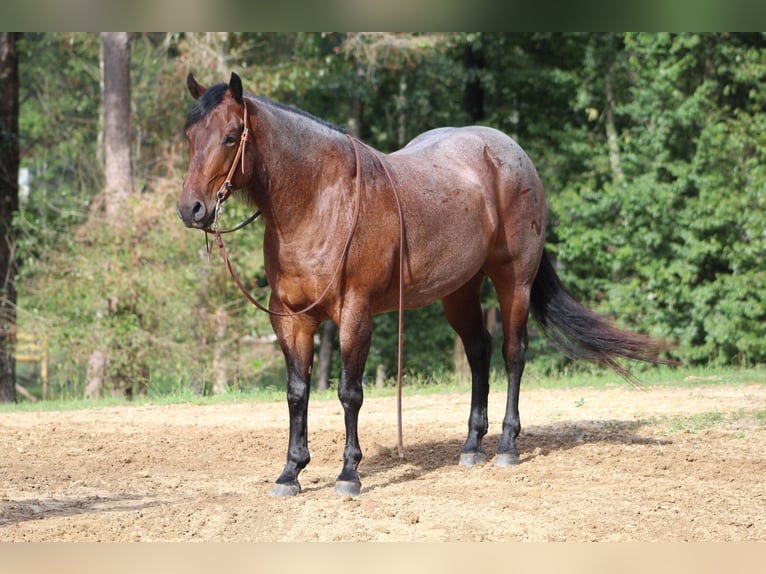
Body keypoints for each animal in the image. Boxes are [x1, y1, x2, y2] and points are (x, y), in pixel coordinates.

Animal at [178, 70, 672, 498]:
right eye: (190, 136)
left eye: (230, 136)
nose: (191, 209)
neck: (320, 199)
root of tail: (512, 153)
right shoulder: (290, 319)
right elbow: (297, 393)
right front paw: (291, 472)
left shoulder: (355, 313)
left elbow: (349, 393)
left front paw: (349, 473)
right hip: (459, 291)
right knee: (479, 351)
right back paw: (472, 446)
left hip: (513, 282)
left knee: (513, 354)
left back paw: (507, 446)